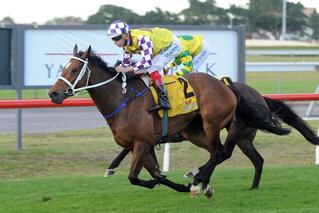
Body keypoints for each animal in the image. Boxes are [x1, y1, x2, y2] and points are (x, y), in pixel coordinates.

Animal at [48, 45, 298, 198]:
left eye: (74, 69)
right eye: (63, 67)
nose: (53, 94)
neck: (123, 100)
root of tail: (227, 85)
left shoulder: (141, 143)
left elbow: (135, 177)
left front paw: (169, 183)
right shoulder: (143, 145)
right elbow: (155, 173)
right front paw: (175, 185)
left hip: (212, 123)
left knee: (221, 152)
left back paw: (198, 180)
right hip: (197, 133)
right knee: (218, 153)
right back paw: (201, 181)